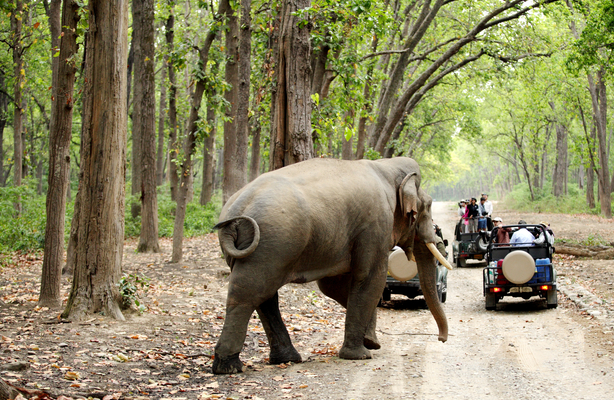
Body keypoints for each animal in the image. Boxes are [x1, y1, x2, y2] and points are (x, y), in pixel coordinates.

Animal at [213, 157, 452, 376]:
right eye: (428, 206)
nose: (441, 339)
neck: (386, 166)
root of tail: (235, 212)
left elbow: (332, 286)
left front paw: (371, 341)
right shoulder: (375, 224)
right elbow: (370, 279)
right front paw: (361, 354)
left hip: (261, 249)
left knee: (264, 296)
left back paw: (287, 359)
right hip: (272, 244)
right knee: (249, 295)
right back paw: (228, 367)